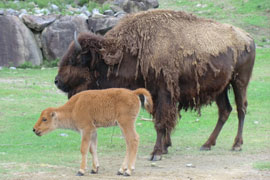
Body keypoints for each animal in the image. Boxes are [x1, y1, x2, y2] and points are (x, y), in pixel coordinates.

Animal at [54, 9, 255, 160]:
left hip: (239, 82)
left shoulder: (164, 94)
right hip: (220, 88)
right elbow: (161, 123)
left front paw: (156, 153)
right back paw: (206, 144)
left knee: (241, 108)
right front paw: (165, 147)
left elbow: (160, 122)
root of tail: (248, 38)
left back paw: (236, 145)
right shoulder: (154, 97)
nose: (57, 81)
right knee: (225, 111)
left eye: (75, 60)